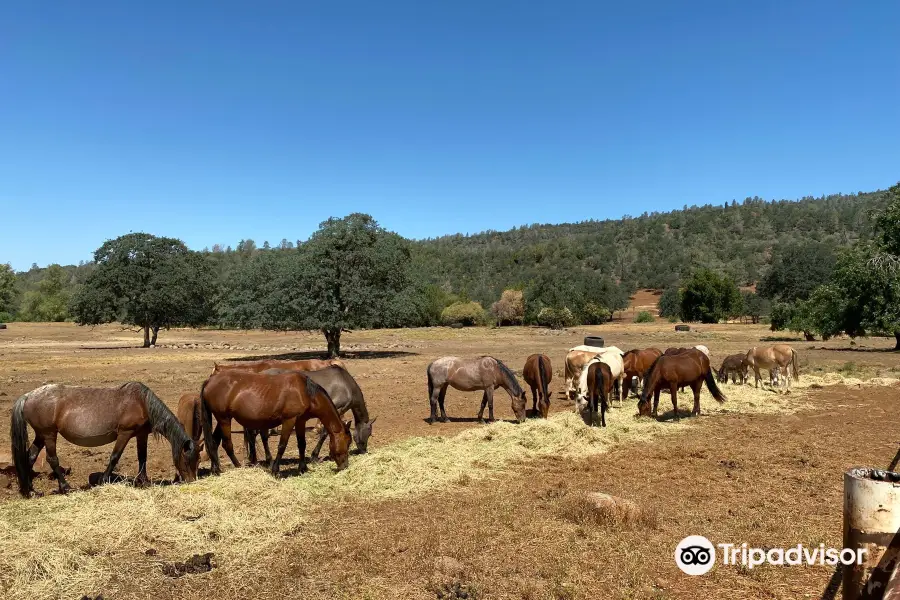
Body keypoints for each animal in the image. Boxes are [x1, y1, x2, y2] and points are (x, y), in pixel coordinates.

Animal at [11, 384, 197, 496]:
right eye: (187, 460)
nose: (192, 482)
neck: (141, 403)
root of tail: (28, 396)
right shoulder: (125, 433)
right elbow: (115, 457)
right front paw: (103, 480)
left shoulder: (141, 434)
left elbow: (142, 457)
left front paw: (143, 482)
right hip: (49, 434)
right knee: (52, 459)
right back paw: (66, 487)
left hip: (41, 435)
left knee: (30, 457)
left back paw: (31, 491)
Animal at [200, 368, 352, 476]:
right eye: (348, 442)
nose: (345, 466)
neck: (306, 392)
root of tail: (209, 381)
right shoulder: (289, 420)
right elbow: (282, 445)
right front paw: (275, 470)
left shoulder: (300, 421)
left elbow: (302, 444)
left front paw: (303, 468)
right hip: (224, 419)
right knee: (227, 445)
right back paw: (238, 467)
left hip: (222, 419)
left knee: (214, 442)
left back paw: (216, 469)